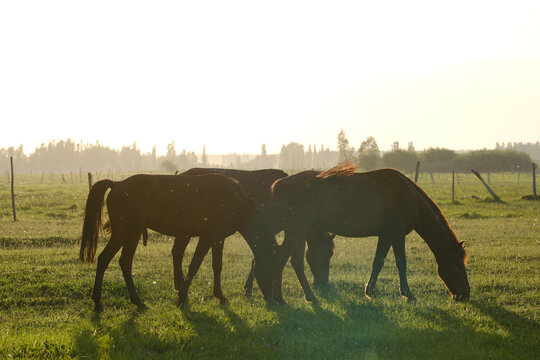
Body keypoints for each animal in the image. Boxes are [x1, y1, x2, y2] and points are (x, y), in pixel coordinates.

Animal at [79, 173, 278, 310]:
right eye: (272, 268)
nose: (273, 298)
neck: (234, 199)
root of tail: (116, 184)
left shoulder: (218, 239)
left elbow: (217, 266)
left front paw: (220, 296)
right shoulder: (207, 237)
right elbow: (194, 265)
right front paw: (182, 297)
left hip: (123, 234)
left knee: (104, 259)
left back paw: (98, 301)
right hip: (129, 234)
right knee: (124, 263)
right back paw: (137, 302)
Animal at [272, 162, 470, 304]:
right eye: (457, 265)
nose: (465, 295)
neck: (407, 196)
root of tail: (277, 186)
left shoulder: (386, 235)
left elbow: (378, 262)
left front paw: (370, 291)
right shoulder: (397, 234)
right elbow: (401, 263)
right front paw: (408, 294)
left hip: (295, 231)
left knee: (283, 259)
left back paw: (281, 298)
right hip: (297, 230)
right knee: (293, 261)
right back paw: (307, 297)